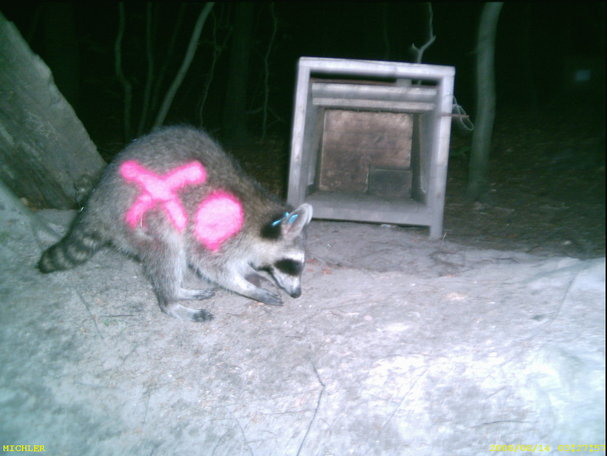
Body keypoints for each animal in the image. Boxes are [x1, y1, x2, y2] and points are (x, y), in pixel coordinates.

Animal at [39, 126, 314, 322]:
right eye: (293, 263)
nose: (297, 293)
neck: (261, 219)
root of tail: (97, 201)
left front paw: (251, 273)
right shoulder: (220, 229)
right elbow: (210, 265)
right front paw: (246, 287)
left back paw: (179, 290)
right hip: (138, 217)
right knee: (168, 249)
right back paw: (171, 301)